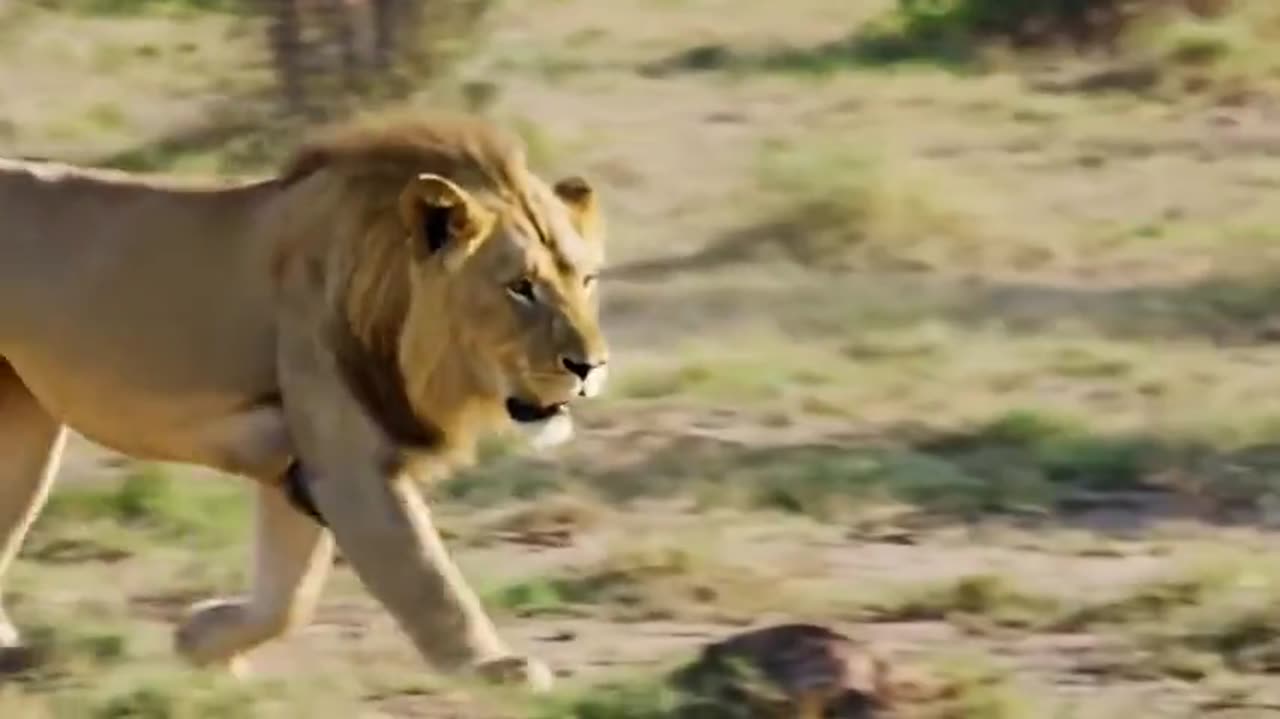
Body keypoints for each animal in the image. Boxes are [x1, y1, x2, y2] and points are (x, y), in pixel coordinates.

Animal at [0, 112, 609, 689]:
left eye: (587, 280)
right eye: (520, 287)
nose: (591, 367)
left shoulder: (294, 468)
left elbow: (288, 598)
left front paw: (203, 639)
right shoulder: (349, 469)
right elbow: (429, 580)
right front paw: (493, 668)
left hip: (26, 426)